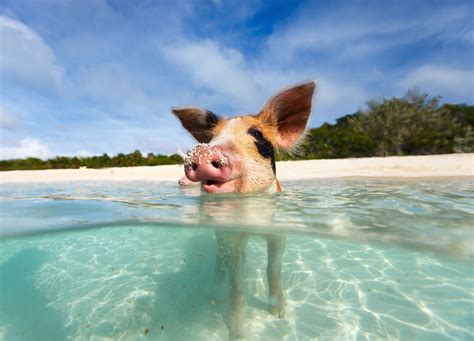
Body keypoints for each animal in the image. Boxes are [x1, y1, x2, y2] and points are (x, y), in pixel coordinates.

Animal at [172, 80, 316, 338]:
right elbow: (236, 285)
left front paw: (278, 313)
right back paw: (216, 281)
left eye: (256, 134)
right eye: (211, 138)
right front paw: (238, 335)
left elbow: (273, 270)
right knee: (220, 255)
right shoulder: (231, 236)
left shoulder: (279, 234)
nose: (203, 151)